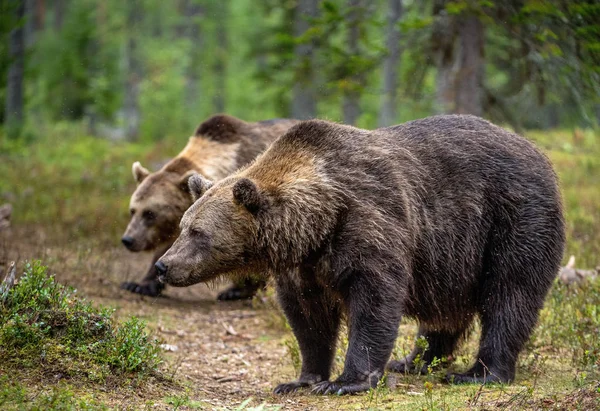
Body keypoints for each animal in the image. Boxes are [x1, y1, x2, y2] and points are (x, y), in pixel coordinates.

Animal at [152, 115, 564, 396]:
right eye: (183, 226)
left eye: (198, 233)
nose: (162, 265)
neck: (317, 222)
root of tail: (539, 153)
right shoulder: (304, 266)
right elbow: (308, 318)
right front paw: (303, 378)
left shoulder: (369, 222)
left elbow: (374, 300)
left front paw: (346, 381)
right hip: (451, 256)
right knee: (444, 311)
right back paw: (414, 361)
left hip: (513, 219)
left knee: (510, 295)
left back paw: (479, 372)